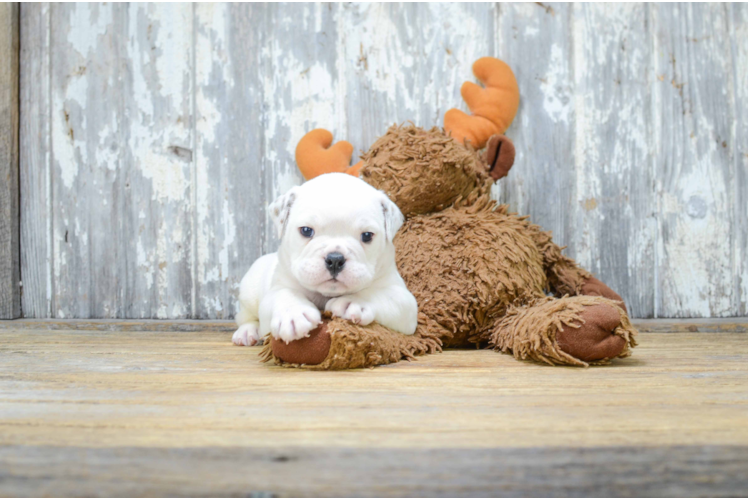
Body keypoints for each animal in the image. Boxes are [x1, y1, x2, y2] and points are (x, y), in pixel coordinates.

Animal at [231, 174, 418, 346]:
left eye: (367, 235)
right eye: (306, 230)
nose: (335, 259)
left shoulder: (405, 302)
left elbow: (378, 294)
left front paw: (353, 301)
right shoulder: (278, 288)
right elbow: (284, 294)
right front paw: (293, 314)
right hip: (248, 293)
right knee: (245, 316)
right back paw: (247, 332)